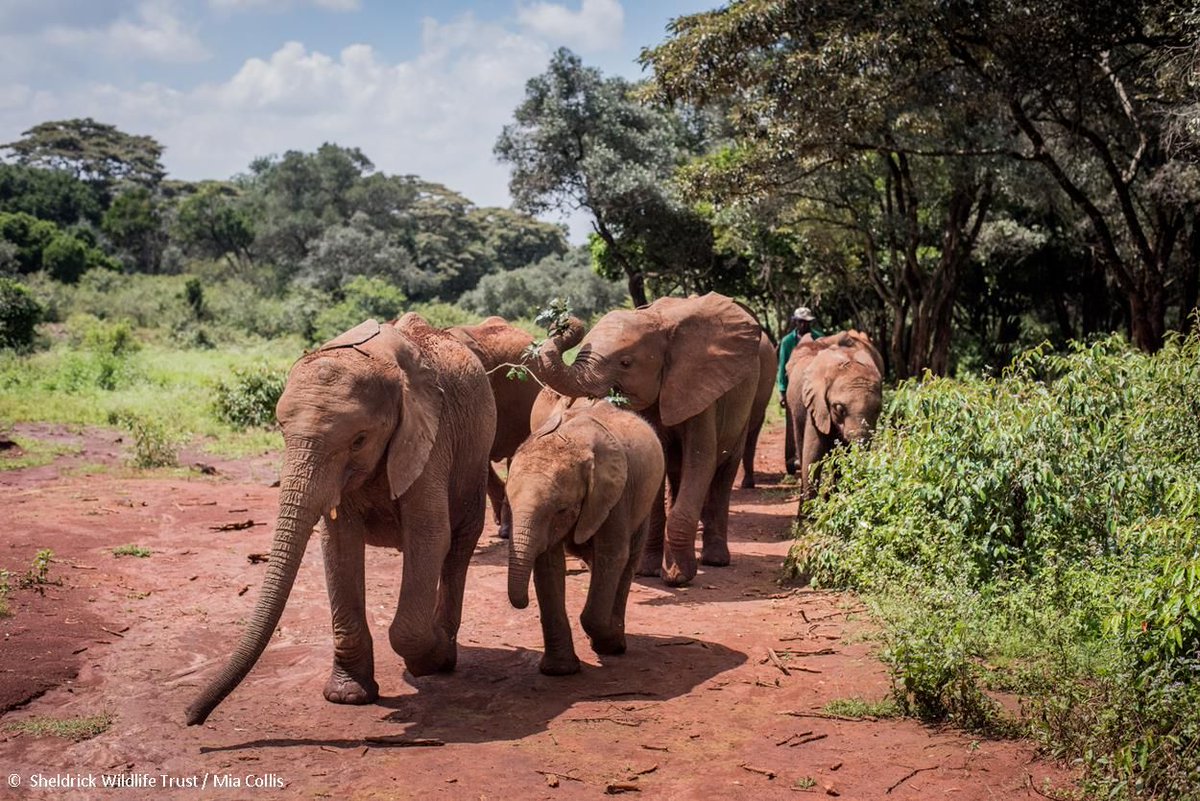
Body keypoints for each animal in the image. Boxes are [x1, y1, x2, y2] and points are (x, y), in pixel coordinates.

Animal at [185, 316, 495, 726]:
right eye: (282, 431)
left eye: (359, 440)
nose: (191, 716)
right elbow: (338, 542)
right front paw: (347, 697)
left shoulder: (431, 438)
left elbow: (430, 535)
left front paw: (428, 660)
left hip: (475, 457)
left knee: (458, 546)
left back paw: (445, 655)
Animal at [506, 398, 665, 675]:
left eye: (562, 510)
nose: (522, 603)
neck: (571, 440)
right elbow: (549, 565)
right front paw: (560, 671)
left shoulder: (615, 496)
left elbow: (612, 554)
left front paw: (608, 645)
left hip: (643, 500)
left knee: (628, 560)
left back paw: (615, 642)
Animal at [535, 292, 773, 587]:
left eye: (625, 363)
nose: (563, 317)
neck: (658, 323)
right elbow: (656, 465)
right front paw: (646, 571)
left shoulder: (700, 387)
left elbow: (701, 461)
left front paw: (678, 577)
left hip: (746, 402)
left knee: (724, 470)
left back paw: (716, 560)